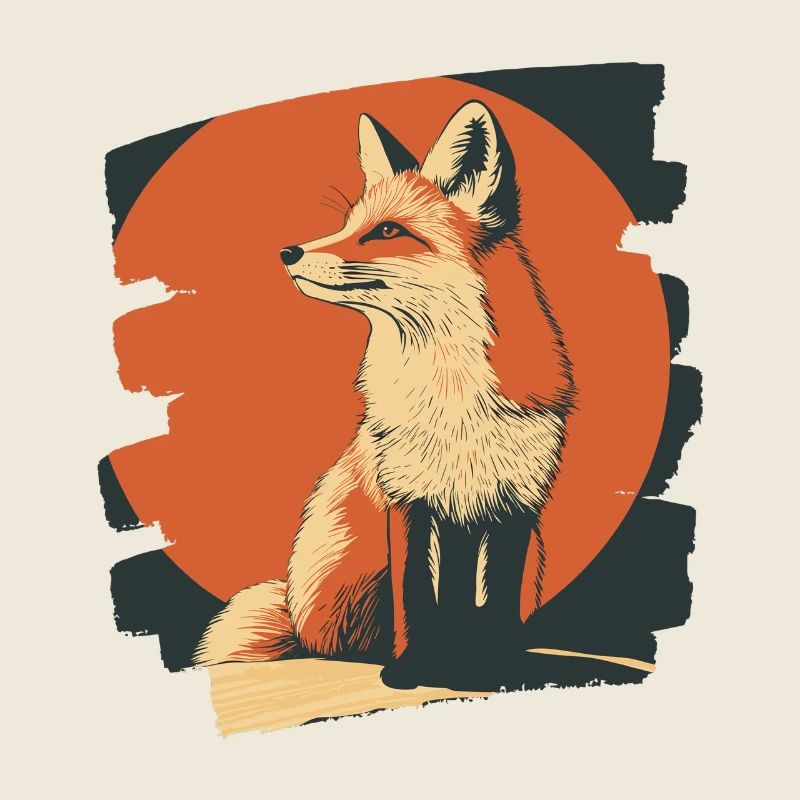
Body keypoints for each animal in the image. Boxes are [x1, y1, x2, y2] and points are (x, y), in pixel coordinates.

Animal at [194, 100, 575, 690]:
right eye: (348, 225)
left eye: (388, 231)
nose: (288, 251)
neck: (451, 400)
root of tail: (296, 617)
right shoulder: (407, 499)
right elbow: (415, 594)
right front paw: (411, 669)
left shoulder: (514, 507)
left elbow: (494, 603)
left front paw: (495, 668)